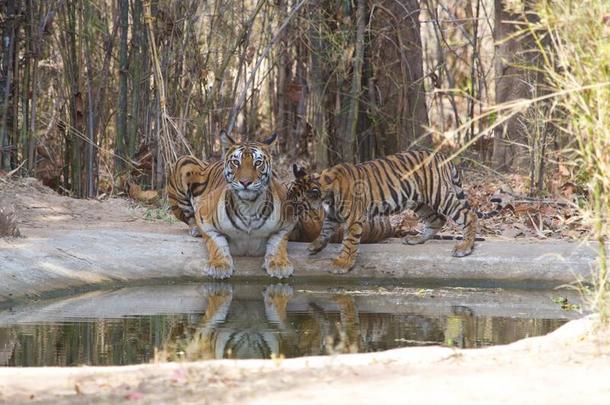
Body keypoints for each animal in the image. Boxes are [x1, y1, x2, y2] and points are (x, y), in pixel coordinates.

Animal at [288, 150, 492, 274]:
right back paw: (416, 239)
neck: (326, 193)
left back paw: (464, 248)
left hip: (439, 196)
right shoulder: (332, 215)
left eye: (296, 203)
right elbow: (325, 230)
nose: (286, 209)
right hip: (418, 201)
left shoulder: (354, 219)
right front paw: (315, 246)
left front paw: (342, 264)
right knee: (437, 220)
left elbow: (349, 242)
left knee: (468, 215)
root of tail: (442, 156)